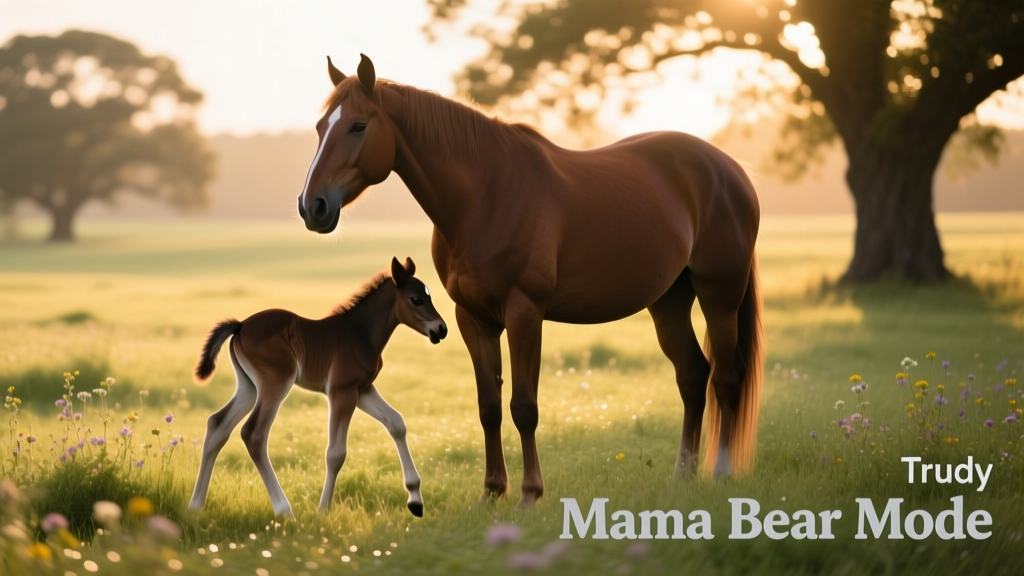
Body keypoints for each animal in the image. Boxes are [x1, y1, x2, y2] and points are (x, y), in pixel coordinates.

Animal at [187, 257, 447, 518]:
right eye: (416, 299)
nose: (441, 329)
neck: (360, 334)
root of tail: (240, 325)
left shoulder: (363, 389)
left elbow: (396, 423)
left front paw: (415, 500)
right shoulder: (342, 391)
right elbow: (335, 453)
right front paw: (323, 510)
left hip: (249, 387)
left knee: (218, 425)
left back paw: (195, 506)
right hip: (276, 384)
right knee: (253, 434)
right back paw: (284, 510)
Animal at [297, 55, 763, 508]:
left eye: (358, 125)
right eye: (320, 128)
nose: (311, 206)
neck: (485, 196)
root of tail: (730, 169)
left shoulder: (525, 313)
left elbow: (523, 406)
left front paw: (529, 493)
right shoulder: (472, 319)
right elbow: (488, 406)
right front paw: (491, 491)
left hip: (720, 295)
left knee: (725, 377)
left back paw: (720, 473)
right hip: (669, 301)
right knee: (692, 376)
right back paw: (683, 476)